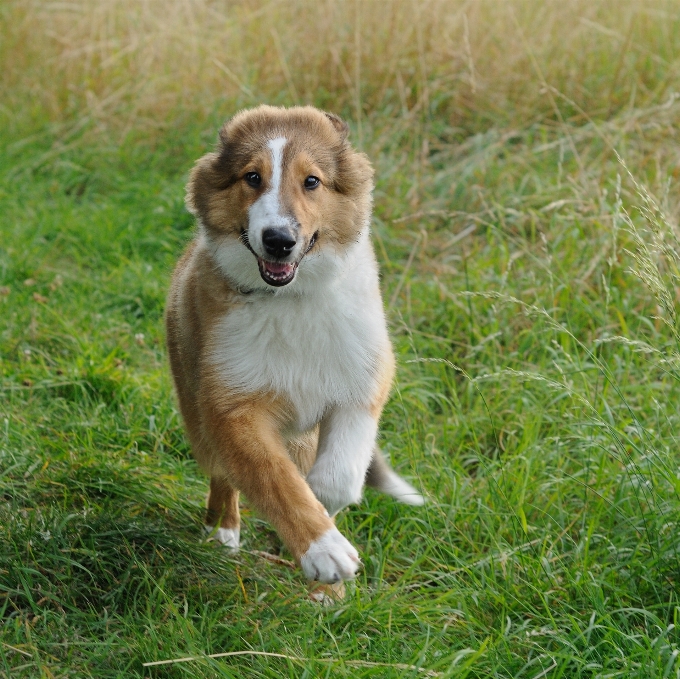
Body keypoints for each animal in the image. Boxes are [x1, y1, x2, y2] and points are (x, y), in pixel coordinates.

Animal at [167, 105, 422, 584]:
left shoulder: (361, 382)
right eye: (252, 177)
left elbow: (337, 477)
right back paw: (223, 531)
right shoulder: (232, 406)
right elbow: (275, 478)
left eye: (312, 181)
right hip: (195, 407)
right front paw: (324, 549)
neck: (291, 300)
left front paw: (323, 512)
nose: (279, 241)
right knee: (221, 473)